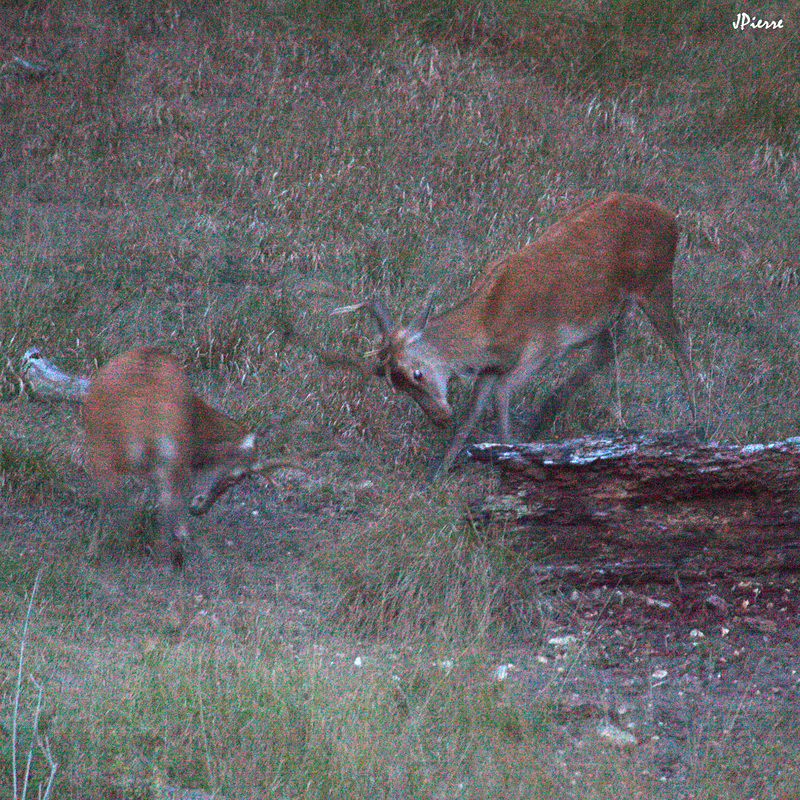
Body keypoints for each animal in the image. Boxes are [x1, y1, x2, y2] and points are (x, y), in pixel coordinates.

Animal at [81, 348, 258, 568]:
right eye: (238, 476)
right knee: (160, 507)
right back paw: (167, 558)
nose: (200, 509)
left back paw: (100, 551)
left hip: (103, 449)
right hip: (170, 455)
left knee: (116, 502)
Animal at [346, 191, 696, 478]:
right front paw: (438, 473)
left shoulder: (544, 346)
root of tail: (672, 218)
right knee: (615, 344)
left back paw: (697, 422)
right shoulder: (492, 366)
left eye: (416, 373)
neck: (490, 326)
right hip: (613, 309)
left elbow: (501, 394)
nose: (439, 418)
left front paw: (509, 460)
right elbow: (473, 411)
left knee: (679, 346)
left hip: (655, 282)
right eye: (396, 384)